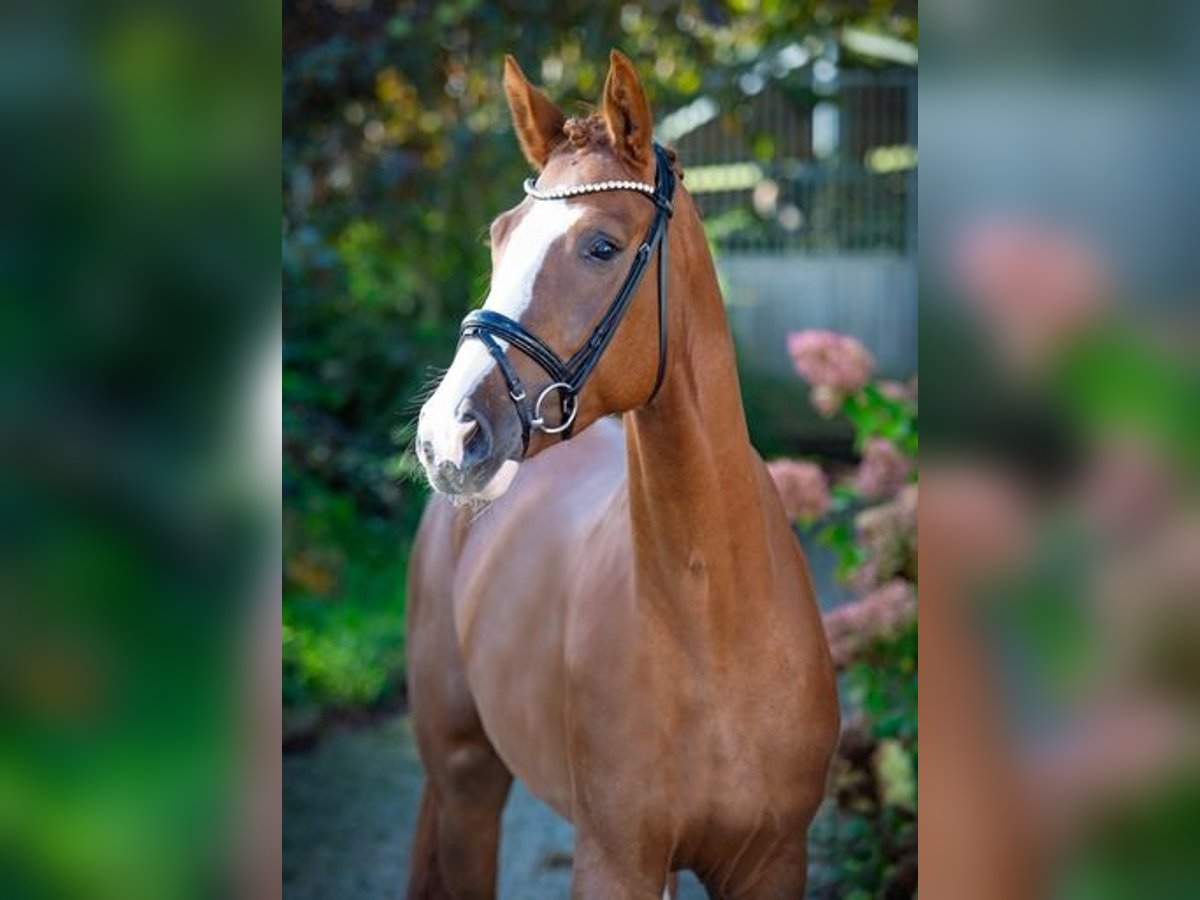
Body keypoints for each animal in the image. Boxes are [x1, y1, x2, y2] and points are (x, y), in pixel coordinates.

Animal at [408, 51, 840, 900]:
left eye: (602, 246)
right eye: (500, 238)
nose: (448, 437)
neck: (712, 624)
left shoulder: (773, 861)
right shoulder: (614, 858)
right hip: (467, 778)